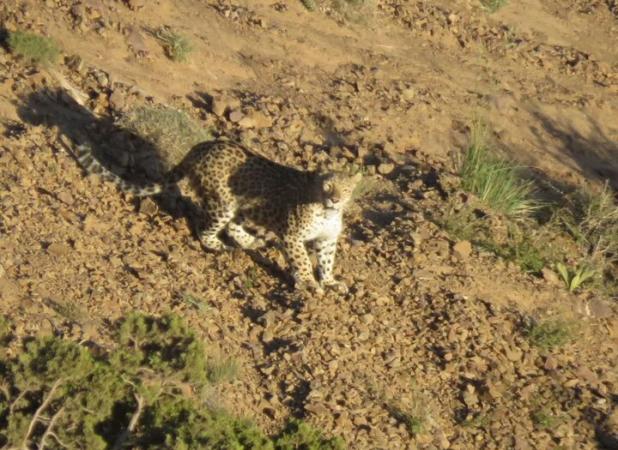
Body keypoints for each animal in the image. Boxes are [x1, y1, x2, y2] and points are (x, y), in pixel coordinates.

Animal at [70, 137, 360, 294]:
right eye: (327, 186)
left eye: (345, 190)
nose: (335, 198)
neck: (327, 212)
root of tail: (202, 146)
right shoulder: (292, 236)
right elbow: (301, 260)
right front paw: (309, 283)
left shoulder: (327, 240)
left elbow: (326, 261)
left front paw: (330, 281)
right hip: (224, 202)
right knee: (206, 228)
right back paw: (218, 245)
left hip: (241, 205)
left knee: (233, 226)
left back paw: (250, 242)